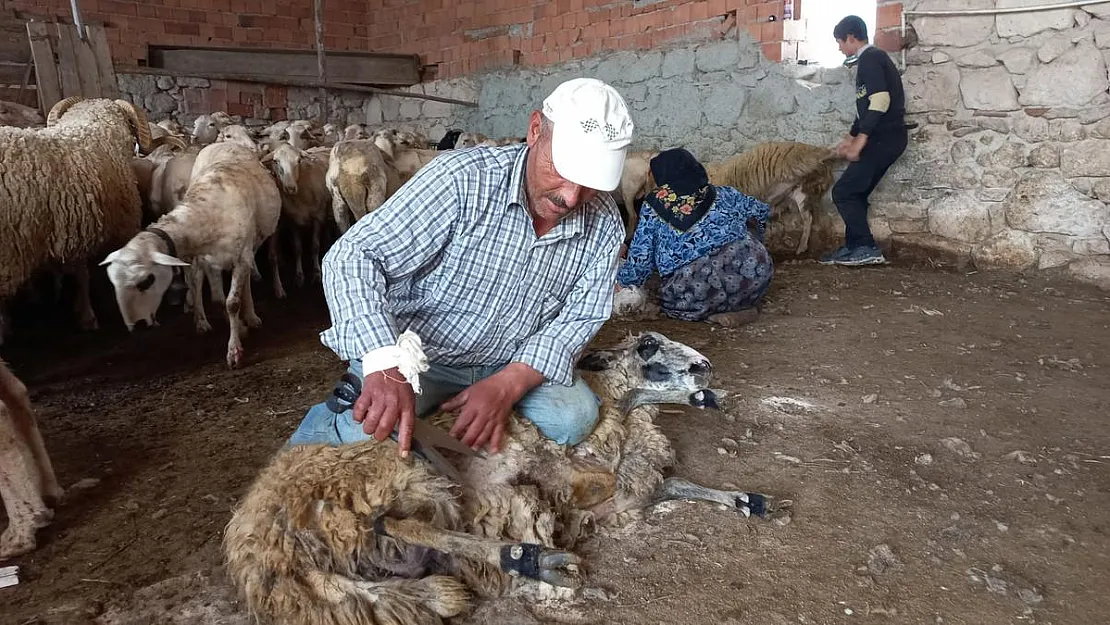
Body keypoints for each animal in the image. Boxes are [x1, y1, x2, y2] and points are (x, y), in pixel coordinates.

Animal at [101, 139, 281, 368]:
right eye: (113, 282)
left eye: (146, 280)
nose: (137, 326)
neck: (204, 210)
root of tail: (224, 143)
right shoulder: (205, 259)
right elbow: (217, 299)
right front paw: (238, 329)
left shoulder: (241, 256)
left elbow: (232, 302)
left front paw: (234, 350)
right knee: (198, 282)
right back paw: (204, 320)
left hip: (252, 244)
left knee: (245, 277)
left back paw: (251, 316)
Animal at [223, 330, 781, 621]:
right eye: (647, 345)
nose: (705, 367)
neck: (618, 415)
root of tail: (264, 552)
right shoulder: (575, 473)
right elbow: (580, 482)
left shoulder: (628, 495)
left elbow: (678, 484)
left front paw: (747, 499)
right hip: (395, 475)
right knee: (399, 522)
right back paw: (534, 558)